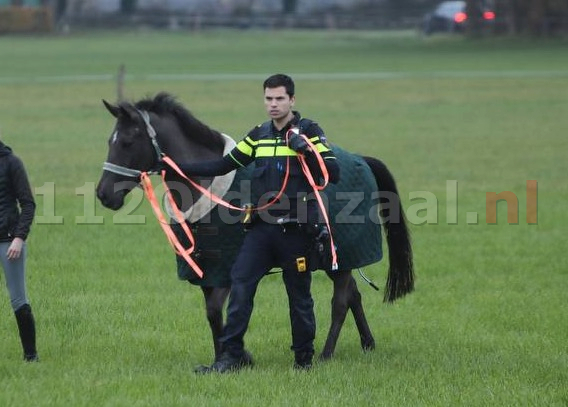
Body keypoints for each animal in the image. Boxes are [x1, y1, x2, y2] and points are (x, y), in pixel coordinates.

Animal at [94, 93, 412, 364]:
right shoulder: (208, 269)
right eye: (110, 141)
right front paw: (227, 355)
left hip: (340, 255)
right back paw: (367, 343)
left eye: (127, 142)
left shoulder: (227, 269)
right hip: (336, 259)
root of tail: (362, 161)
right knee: (354, 295)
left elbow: (218, 310)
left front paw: (234, 355)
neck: (207, 191)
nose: (103, 193)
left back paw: (326, 353)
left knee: (341, 301)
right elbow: (213, 315)